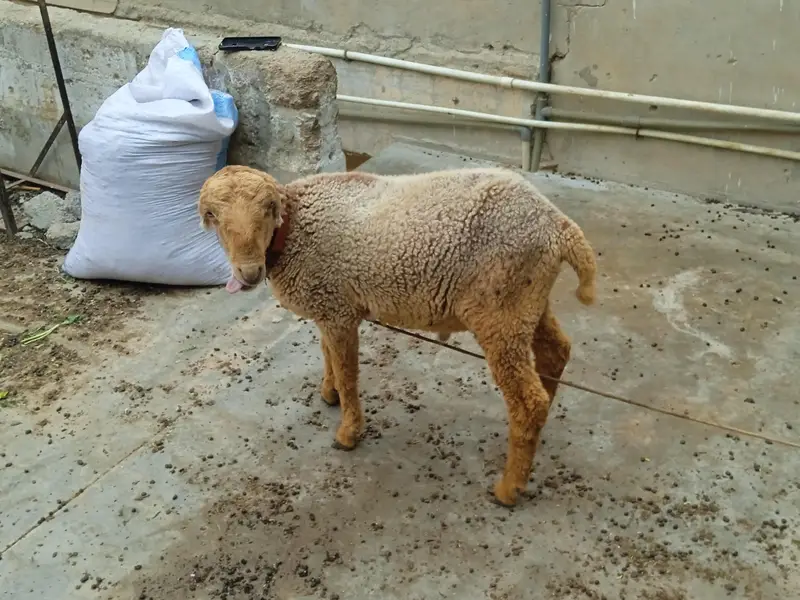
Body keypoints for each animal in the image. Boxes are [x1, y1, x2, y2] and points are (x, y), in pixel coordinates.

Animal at [199, 164, 597, 507]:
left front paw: (348, 432)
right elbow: (327, 353)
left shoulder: (338, 310)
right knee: (556, 353)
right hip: (528, 301)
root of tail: (559, 226)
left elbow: (347, 370)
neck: (295, 228)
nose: (249, 272)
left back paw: (509, 487)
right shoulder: (329, 303)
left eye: (268, 208)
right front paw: (329, 392)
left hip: (501, 308)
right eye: (213, 216)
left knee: (529, 400)